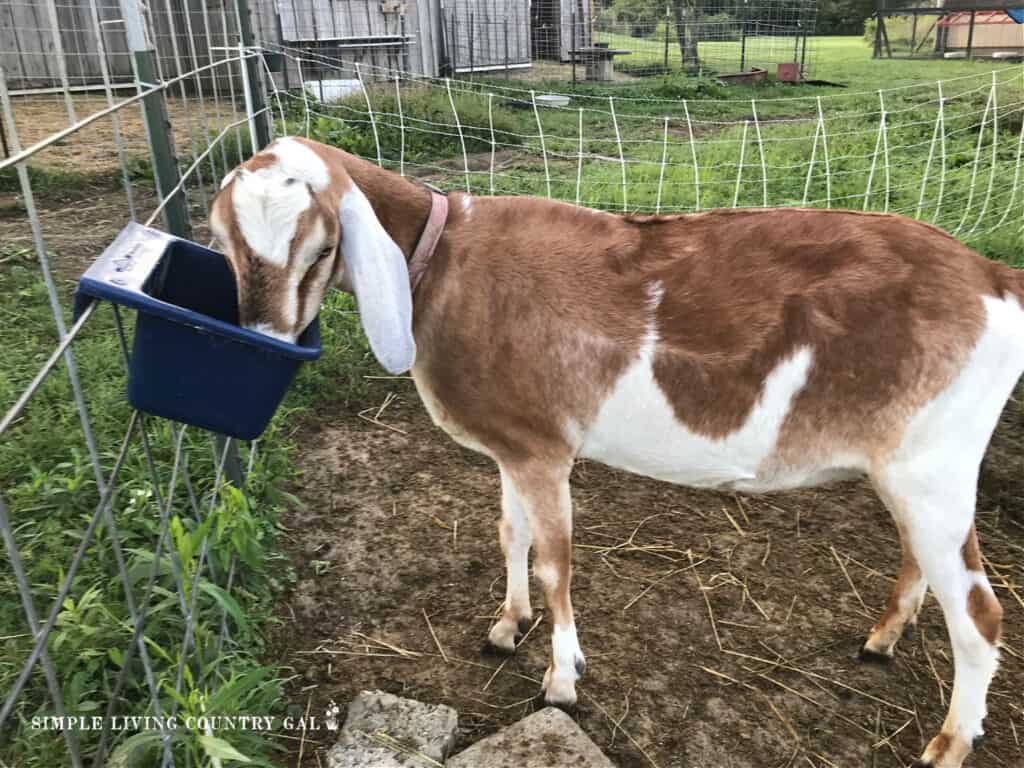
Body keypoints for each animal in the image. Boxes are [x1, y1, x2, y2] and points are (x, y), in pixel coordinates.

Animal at [211, 138, 1019, 768]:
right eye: (226, 242)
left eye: (322, 246)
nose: (267, 340)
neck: (446, 265)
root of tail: (994, 279)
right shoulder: (512, 444)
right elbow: (510, 534)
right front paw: (507, 625)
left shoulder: (544, 449)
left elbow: (555, 560)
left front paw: (562, 679)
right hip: (909, 471)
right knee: (924, 561)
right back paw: (883, 639)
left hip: (933, 468)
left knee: (981, 615)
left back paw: (949, 743)